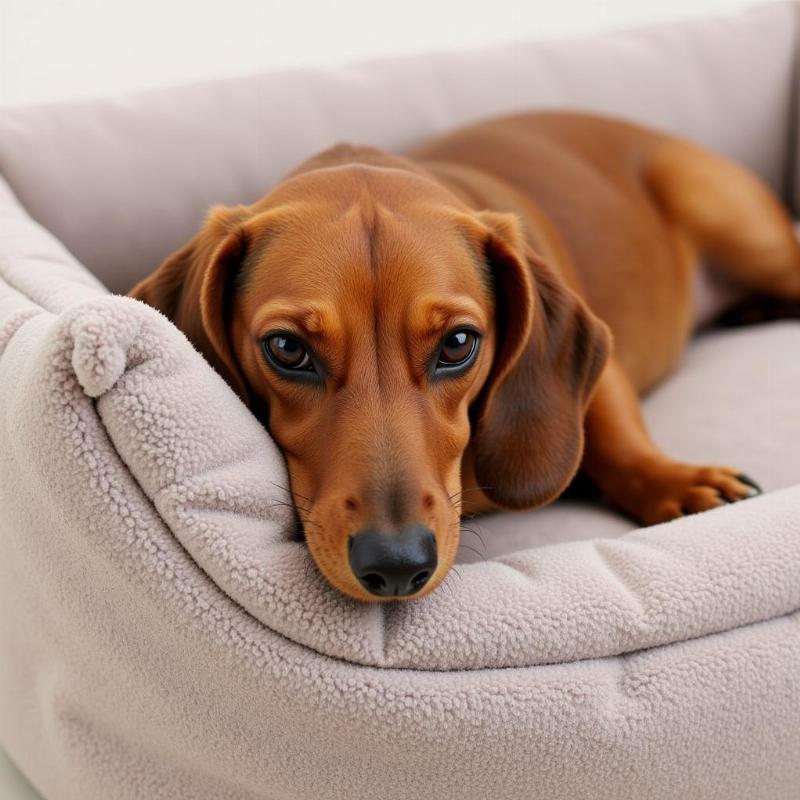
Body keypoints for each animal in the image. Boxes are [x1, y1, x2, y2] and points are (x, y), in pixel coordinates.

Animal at [130, 111, 800, 600]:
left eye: (457, 344)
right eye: (288, 349)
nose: (396, 565)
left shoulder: (601, 368)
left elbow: (615, 436)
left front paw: (674, 481)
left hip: (746, 236)